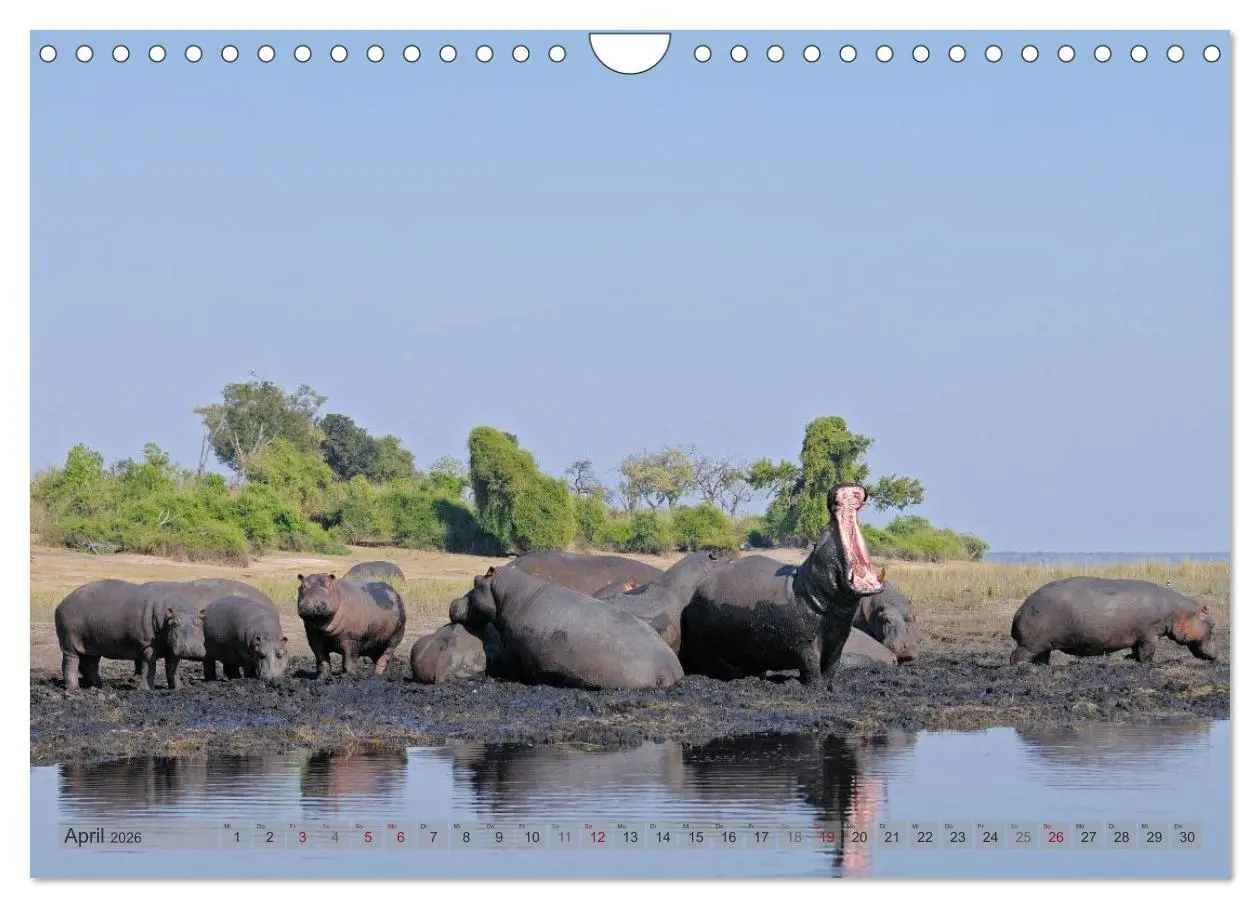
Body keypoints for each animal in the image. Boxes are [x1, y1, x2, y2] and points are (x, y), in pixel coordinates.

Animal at [54, 579, 207, 690]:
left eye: (200, 621)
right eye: (174, 623)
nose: (193, 648)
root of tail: (62, 602)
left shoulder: (172, 648)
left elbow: (173, 668)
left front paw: (179, 688)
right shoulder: (147, 645)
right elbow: (149, 667)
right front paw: (146, 690)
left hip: (91, 644)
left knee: (90, 663)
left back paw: (99, 686)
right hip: (69, 641)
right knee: (70, 662)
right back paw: (73, 689)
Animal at [449, 565, 684, 690]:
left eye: (475, 580)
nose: (452, 602)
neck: (506, 593)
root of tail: (673, 668)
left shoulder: (513, 650)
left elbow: (512, 668)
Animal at [679, 484, 885, 683]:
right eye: (822, 533)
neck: (815, 591)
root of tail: (693, 596)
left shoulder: (838, 640)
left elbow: (832, 667)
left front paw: (829, 686)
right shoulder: (803, 642)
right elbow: (812, 667)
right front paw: (815, 686)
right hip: (709, 647)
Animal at [1009, 577, 1219, 665]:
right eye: (1213, 624)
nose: (1218, 654)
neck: (1178, 611)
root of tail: (1019, 611)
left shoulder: (1139, 636)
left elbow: (1136, 650)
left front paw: (1129, 659)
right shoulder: (1150, 634)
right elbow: (1147, 652)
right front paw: (1148, 664)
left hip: (1043, 645)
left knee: (1042, 657)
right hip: (1030, 644)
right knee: (1015, 657)